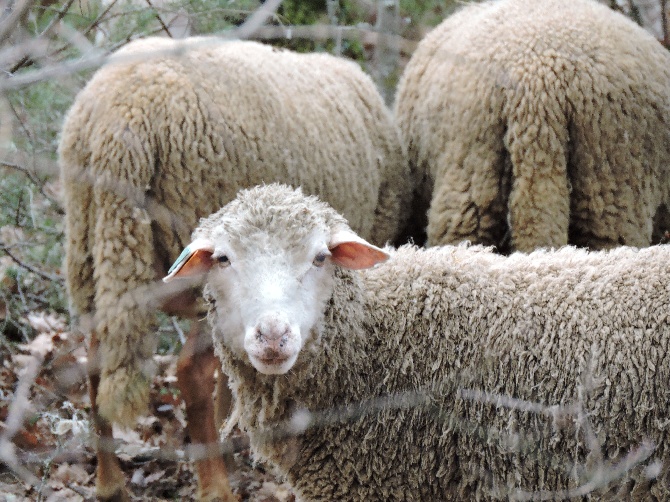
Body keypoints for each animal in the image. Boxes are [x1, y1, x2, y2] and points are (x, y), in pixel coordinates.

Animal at [57, 36, 406, 502]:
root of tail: (121, 116)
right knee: (191, 371)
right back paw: (214, 485)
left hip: (95, 252)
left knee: (96, 364)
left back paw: (110, 482)